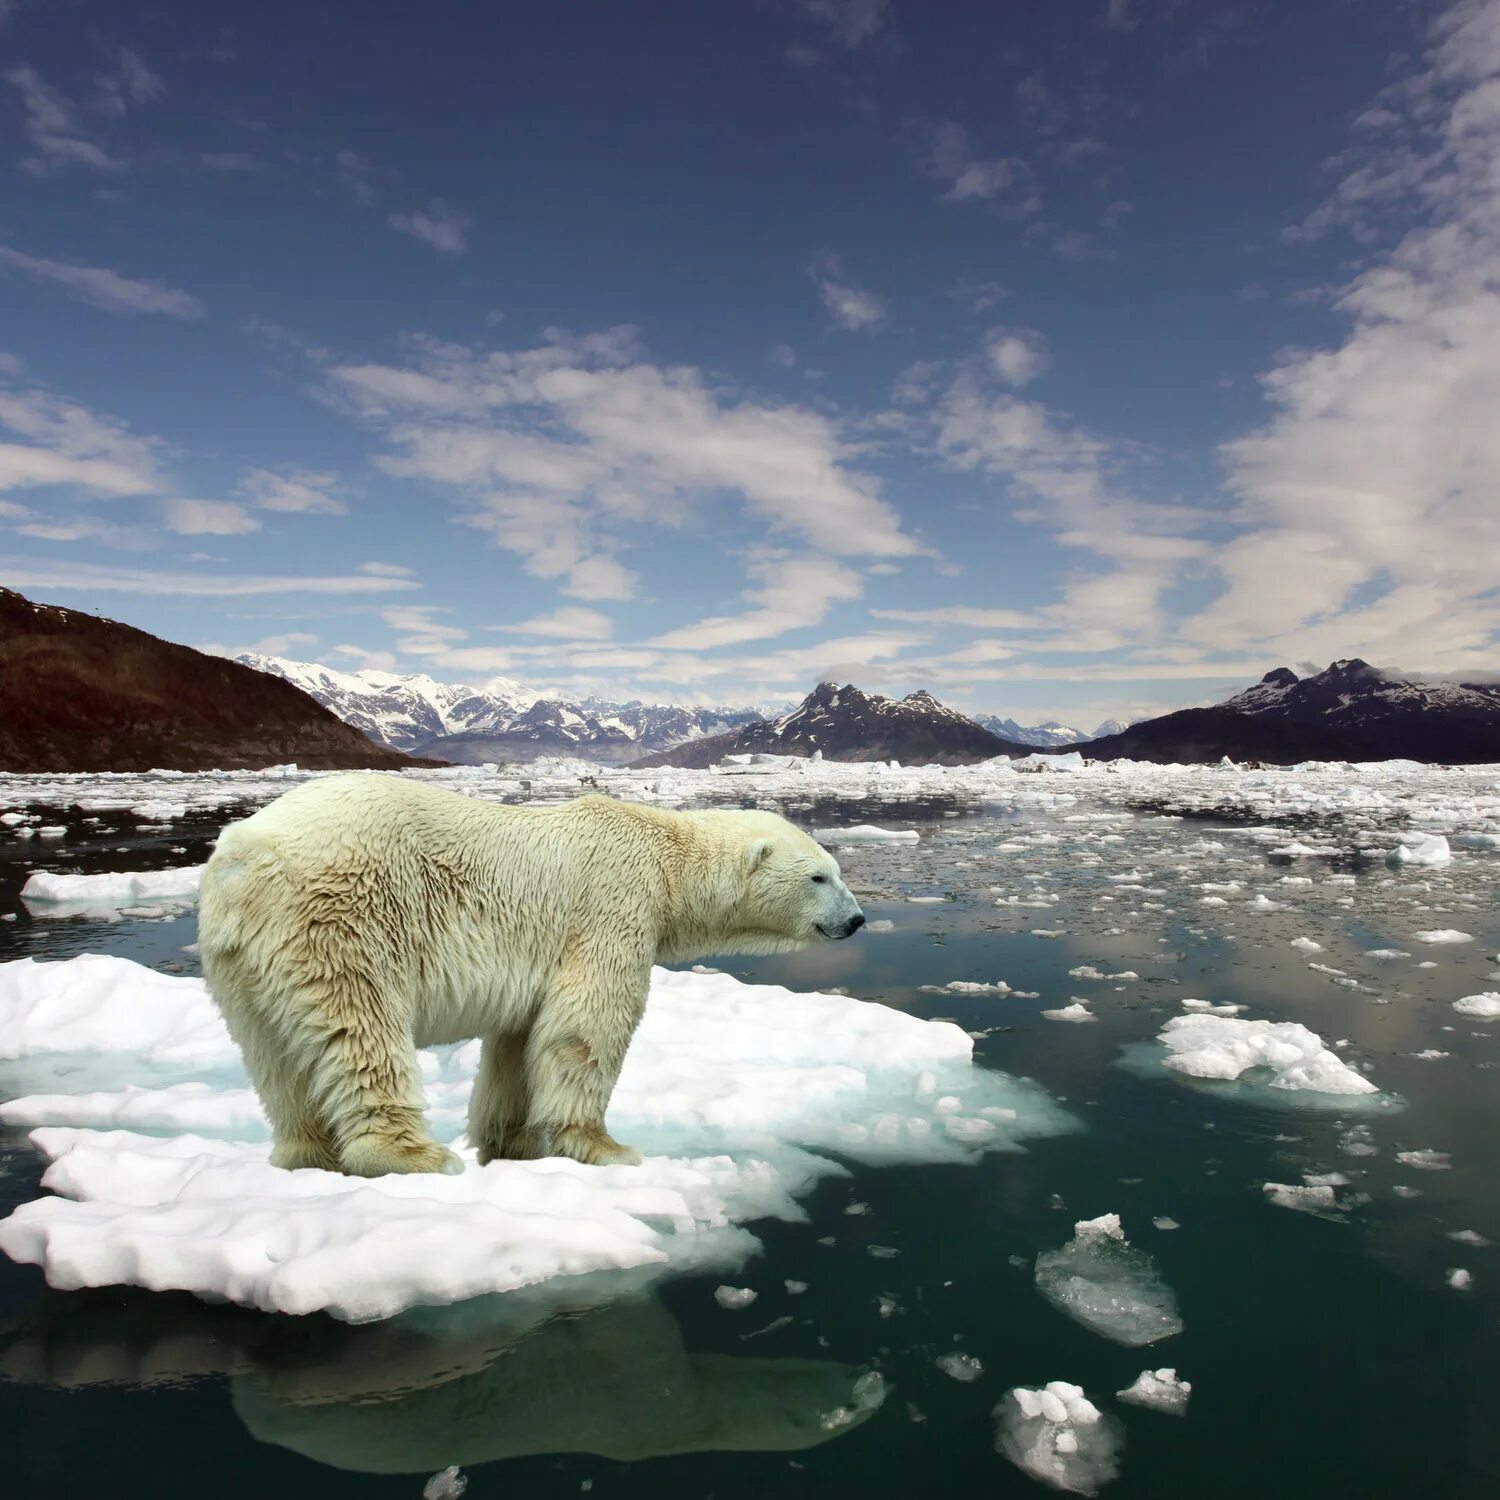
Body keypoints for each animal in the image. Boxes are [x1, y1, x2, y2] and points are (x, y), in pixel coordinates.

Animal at [196, 780, 870, 1176]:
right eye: (820, 877)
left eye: (838, 871)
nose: (858, 919)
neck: (667, 858)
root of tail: (243, 855)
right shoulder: (613, 905)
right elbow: (587, 1025)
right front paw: (605, 1147)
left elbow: (519, 1043)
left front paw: (511, 1142)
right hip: (341, 915)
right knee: (361, 1027)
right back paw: (413, 1155)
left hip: (239, 958)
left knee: (274, 1056)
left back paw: (306, 1153)